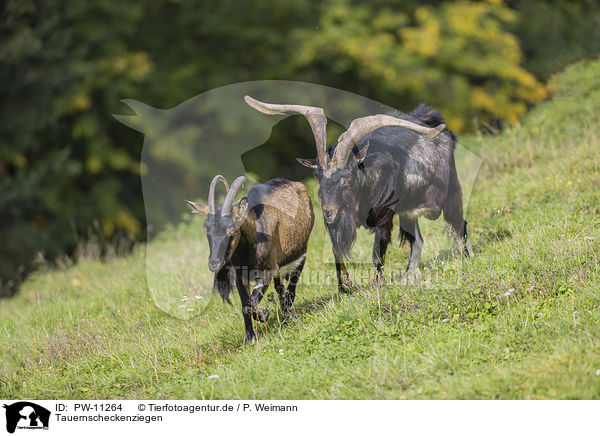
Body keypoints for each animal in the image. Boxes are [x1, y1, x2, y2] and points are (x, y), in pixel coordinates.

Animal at [186, 175, 314, 342]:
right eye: (206, 229)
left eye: (232, 231)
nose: (215, 263)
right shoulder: (240, 276)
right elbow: (245, 305)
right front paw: (249, 337)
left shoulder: (266, 271)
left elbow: (251, 302)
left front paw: (264, 315)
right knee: (280, 288)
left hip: (300, 254)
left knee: (291, 288)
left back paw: (288, 318)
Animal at [246, 96, 472, 292]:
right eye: (318, 176)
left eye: (346, 178)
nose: (328, 212)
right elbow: (337, 250)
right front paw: (344, 288)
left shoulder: (384, 219)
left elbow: (377, 254)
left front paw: (376, 287)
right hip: (408, 211)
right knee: (417, 240)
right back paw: (409, 275)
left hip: (450, 193)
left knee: (458, 225)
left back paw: (467, 259)